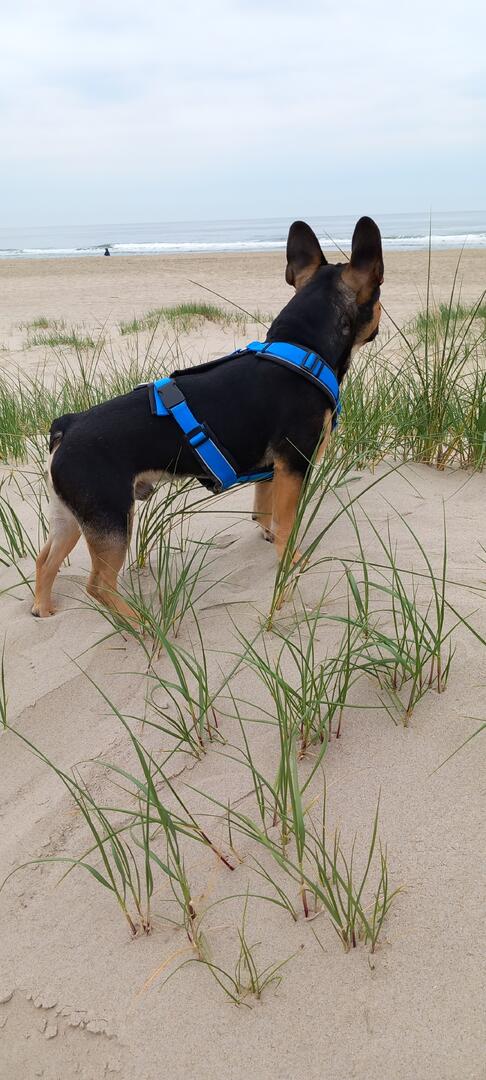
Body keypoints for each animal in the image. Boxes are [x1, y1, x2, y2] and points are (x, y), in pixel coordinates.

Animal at [32, 215, 383, 624]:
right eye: (378, 296)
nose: (380, 322)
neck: (300, 348)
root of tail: (68, 426)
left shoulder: (272, 470)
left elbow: (264, 513)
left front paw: (268, 537)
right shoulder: (295, 464)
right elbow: (286, 525)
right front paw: (291, 562)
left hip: (71, 516)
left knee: (46, 560)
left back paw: (44, 608)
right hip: (111, 519)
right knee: (99, 585)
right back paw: (142, 624)